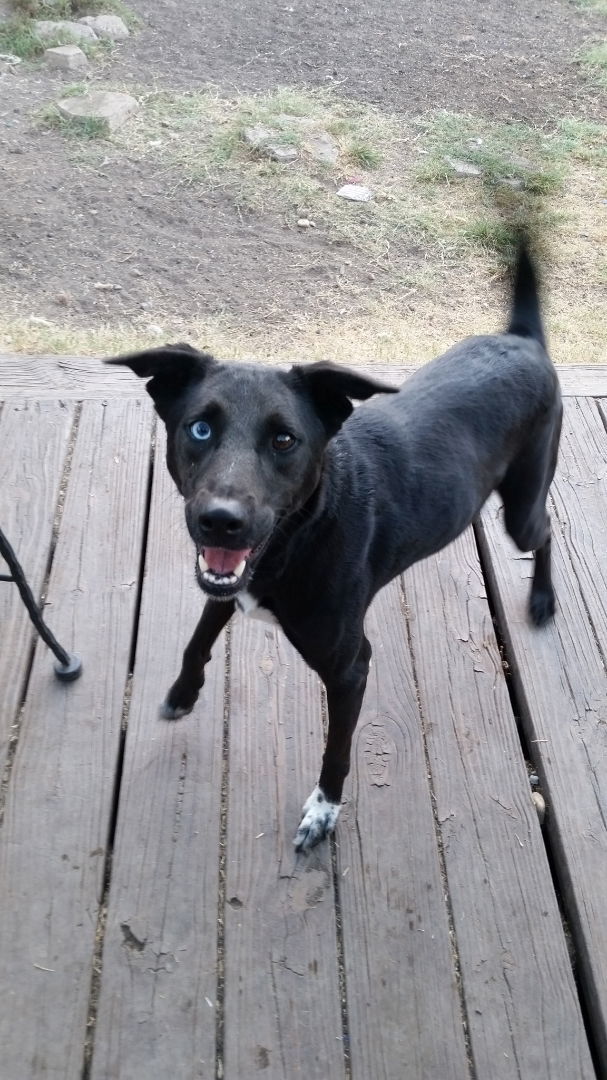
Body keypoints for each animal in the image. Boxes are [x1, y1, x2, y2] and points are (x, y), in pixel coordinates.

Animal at [106, 243, 561, 851]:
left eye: (284, 439)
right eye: (200, 429)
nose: (220, 522)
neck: (303, 531)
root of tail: (523, 339)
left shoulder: (351, 668)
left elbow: (337, 752)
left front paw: (323, 812)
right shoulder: (229, 583)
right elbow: (198, 635)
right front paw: (183, 692)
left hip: (523, 507)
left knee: (547, 530)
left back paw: (542, 601)